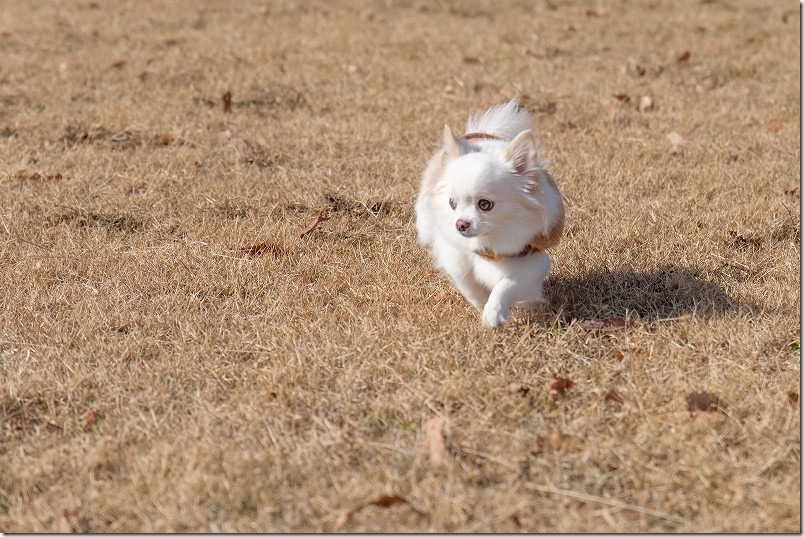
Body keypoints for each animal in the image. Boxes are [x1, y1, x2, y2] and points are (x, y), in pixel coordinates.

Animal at [414, 100, 564, 326]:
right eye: (452, 203)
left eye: (485, 205)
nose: (460, 224)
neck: (488, 241)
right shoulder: (455, 257)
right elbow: (468, 284)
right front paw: (482, 305)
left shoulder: (531, 257)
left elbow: (508, 283)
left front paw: (494, 312)